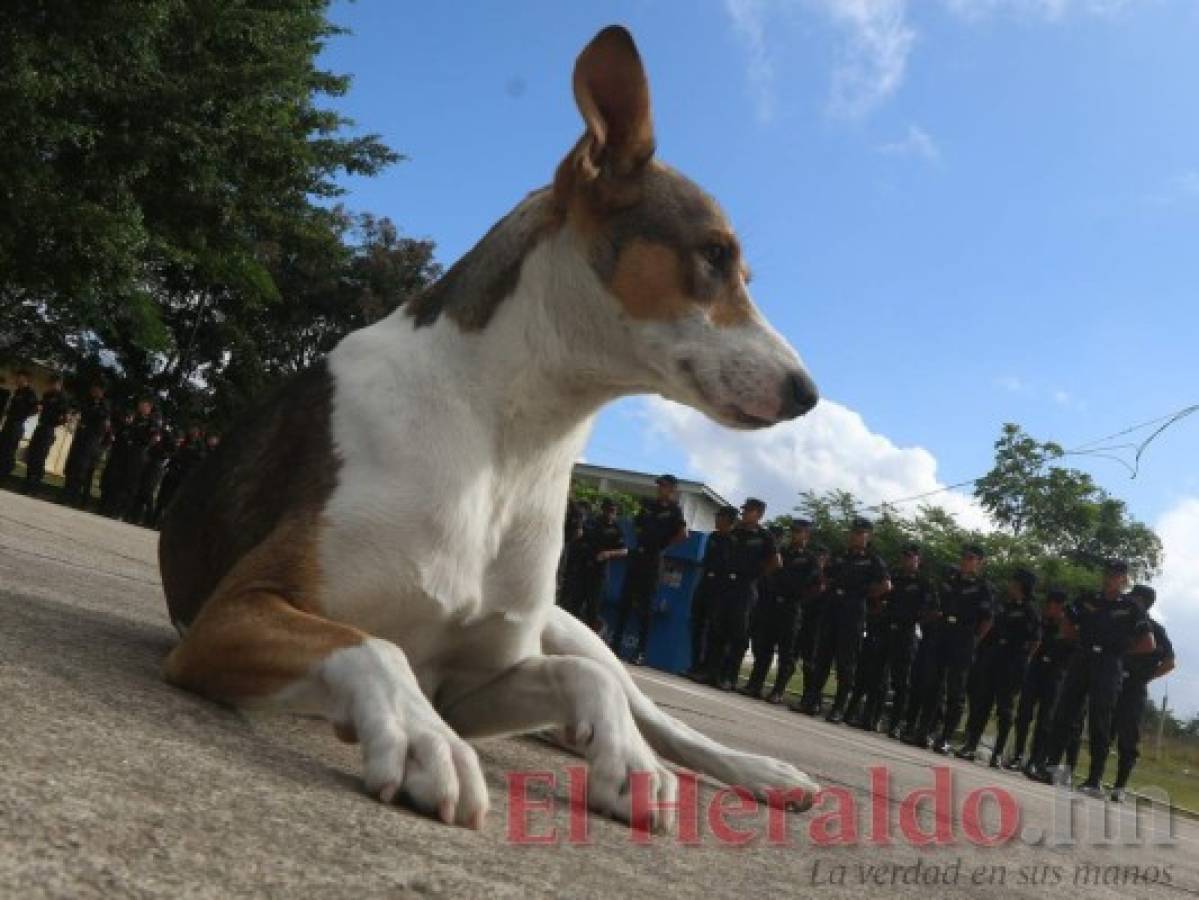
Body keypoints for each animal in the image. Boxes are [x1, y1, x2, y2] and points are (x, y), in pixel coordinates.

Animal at [159, 26, 820, 829]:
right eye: (715, 255)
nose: (807, 393)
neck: (510, 442)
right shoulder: (234, 615)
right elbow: (374, 647)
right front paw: (422, 741)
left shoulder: (472, 684)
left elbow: (586, 683)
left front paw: (627, 763)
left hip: (576, 624)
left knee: (650, 708)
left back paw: (754, 769)